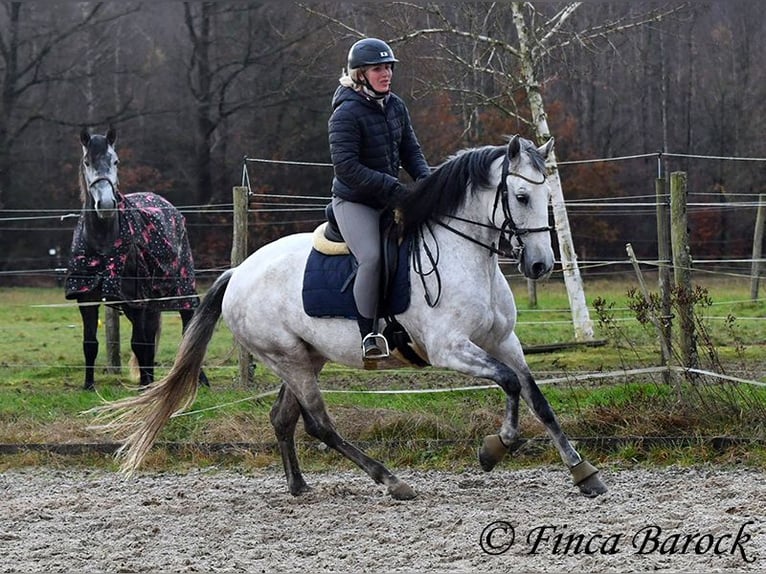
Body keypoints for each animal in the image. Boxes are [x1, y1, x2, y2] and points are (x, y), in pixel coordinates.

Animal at [94, 136, 612, 500]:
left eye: (547, 197)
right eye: (521, 196)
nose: (541, 266)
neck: (468, 255)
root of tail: (238, 271)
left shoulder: (504, 341)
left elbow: (535, 396)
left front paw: (583, 473)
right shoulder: (450, 349)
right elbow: (507, 383)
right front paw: (494, 448)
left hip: (304, 358)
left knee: (283, 418)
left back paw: (299, 486)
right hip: (290, 360)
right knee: (318, 425)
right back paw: (391, 481)